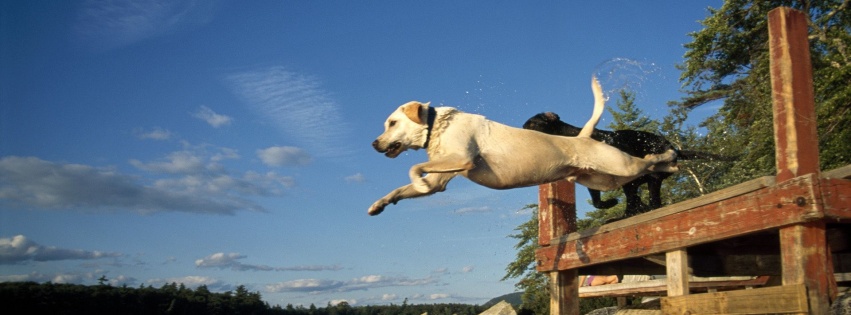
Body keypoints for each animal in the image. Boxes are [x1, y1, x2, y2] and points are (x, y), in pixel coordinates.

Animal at [370, 77, 676, 216]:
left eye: (392, 123)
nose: (374, 143)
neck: (436, 125)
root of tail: (583, 137)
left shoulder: (461, 158)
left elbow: (414, 167)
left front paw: (417, 183)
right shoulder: (440, 180)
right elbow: (400, 190)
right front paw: (378, 205)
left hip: (622, 165)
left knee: (651, 161)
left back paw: (669, 156)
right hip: (604, 180)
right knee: (639, 178)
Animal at [524, 113, 728, 220]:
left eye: (532, 125)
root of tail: (674, 148)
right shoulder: (593, 182)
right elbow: (598, 202)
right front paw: (612, 203)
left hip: (649, 179)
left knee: (650, 203)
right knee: (642, 201)